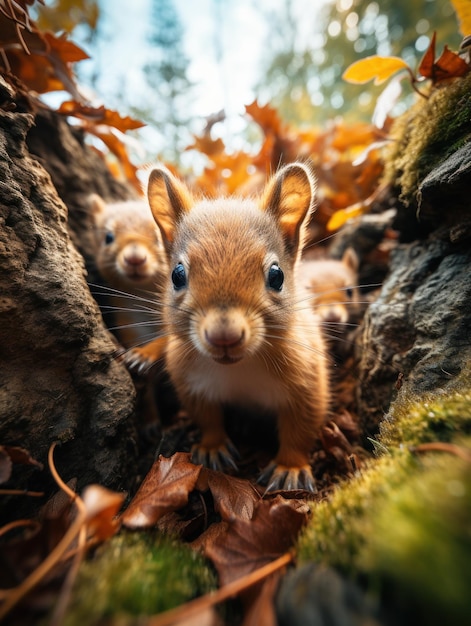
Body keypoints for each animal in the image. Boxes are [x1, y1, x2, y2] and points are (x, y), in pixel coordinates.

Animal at [125, 162, 332, 492]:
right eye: (177, 275)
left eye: (277, 276)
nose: (225, 337)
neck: (240, 368)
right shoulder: (191, 380)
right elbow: (207, 417)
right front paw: (213, 447)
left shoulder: (307, 378)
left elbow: (301, 426)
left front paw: (291, 467)